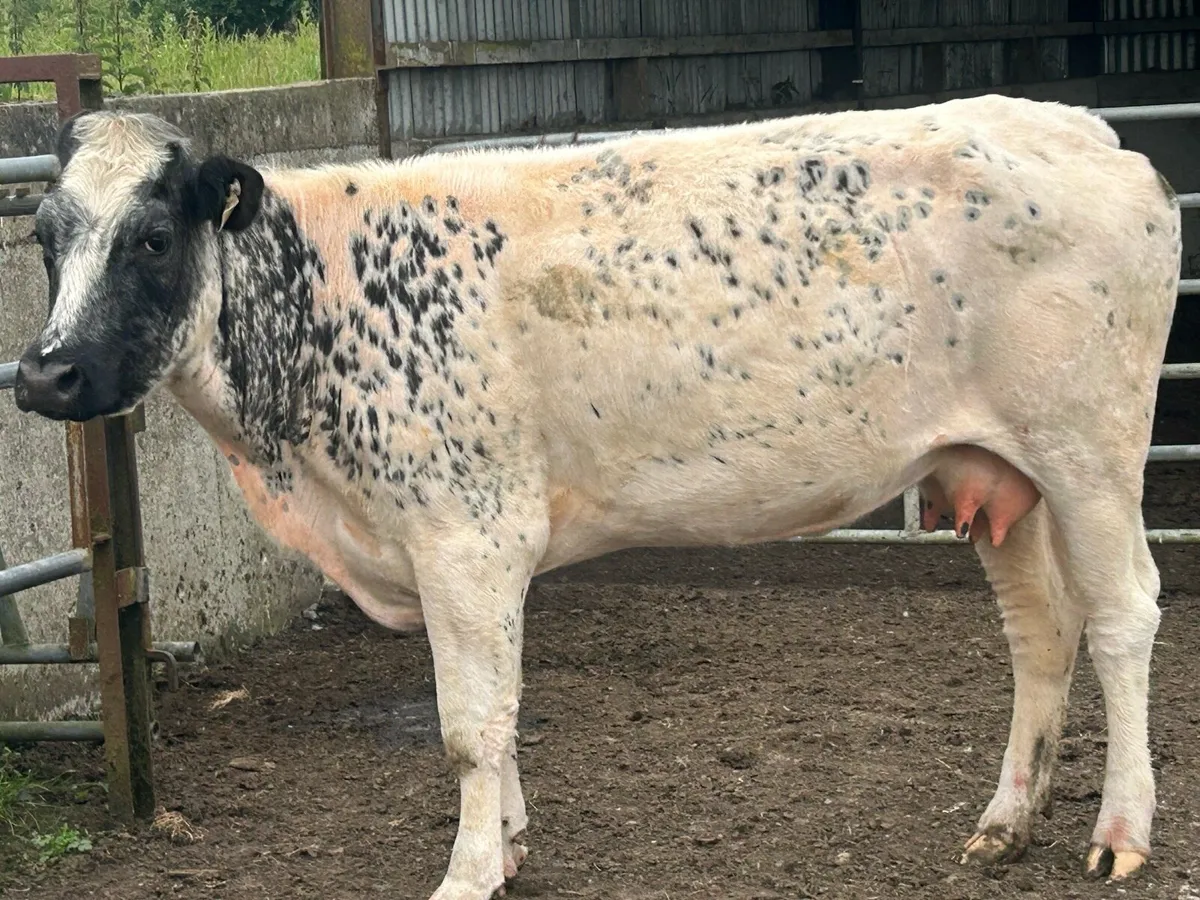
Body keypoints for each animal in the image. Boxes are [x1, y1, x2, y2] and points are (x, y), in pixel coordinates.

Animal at [12, 95, 1179, 898]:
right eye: (46, 237)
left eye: (153, 236)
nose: (45, 374)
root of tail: (1094, 134)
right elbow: (502, 715)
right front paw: (509, 845)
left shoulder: (467, 538)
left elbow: (470, 725)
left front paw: (468, 872)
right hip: (994, 473)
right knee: (1040, 633)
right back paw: (1005, 823)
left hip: (1090, 451)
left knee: (1123, 616)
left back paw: (1120, 834)